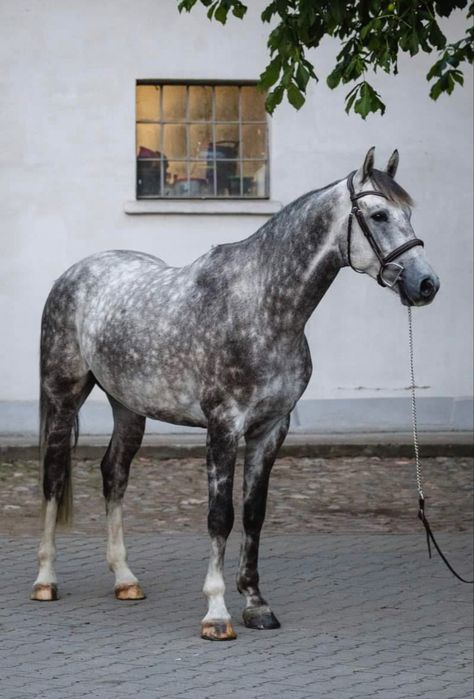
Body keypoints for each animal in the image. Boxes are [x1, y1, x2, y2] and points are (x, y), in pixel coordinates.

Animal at [31, 150, 438, 644]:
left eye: (408, 214)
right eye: (378, 215)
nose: (426, 284)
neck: (261, 307)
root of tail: (74, 274)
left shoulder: (270, 430)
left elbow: (253, 514)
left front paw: (256, 604)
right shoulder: (224, 427)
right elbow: (220, 516)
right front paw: (217, 612)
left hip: (128, 407)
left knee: (114, 475)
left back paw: (125, 579)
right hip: (63, 396)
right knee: (53, 478)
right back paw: (46, 580)